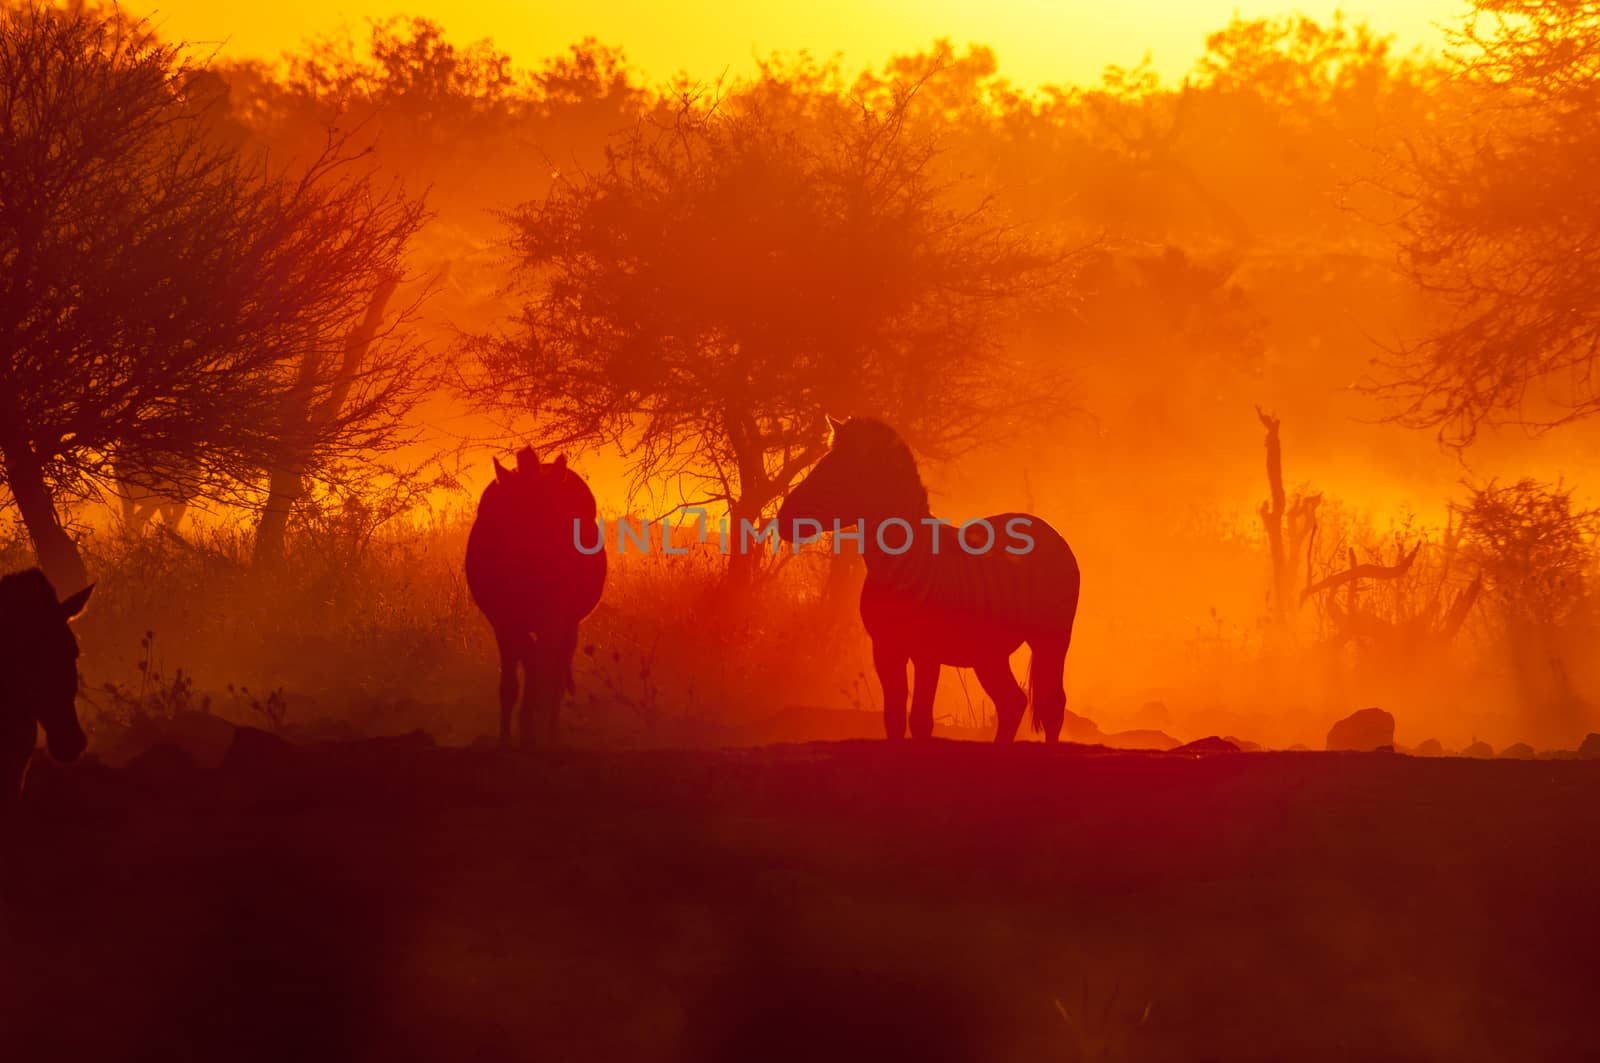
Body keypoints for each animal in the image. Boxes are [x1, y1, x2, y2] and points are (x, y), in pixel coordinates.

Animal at [467, 448, 611, 746]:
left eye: (556, 519)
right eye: (514, 518)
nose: (540, 568)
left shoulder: (556, 617)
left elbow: (545, 671)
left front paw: (532, 729)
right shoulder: (503, 621)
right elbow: (513, 682)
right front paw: (509, 736)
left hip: (569, 624)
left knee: (553, 673)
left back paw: (549, 731)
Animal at [777, 419, 1081, 742]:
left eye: (839, 471)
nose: (783, 519)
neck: (897, 564)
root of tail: (1046, 528)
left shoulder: (927, 652)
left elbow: (921, 720)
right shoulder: (885, 649)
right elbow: (893, 718)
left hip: (1052, 638)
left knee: (1052, 705)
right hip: (988, 652)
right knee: (1012, 702)